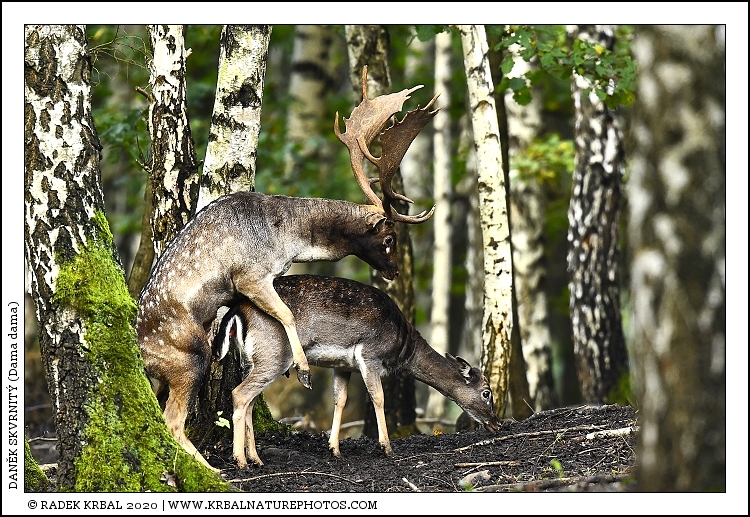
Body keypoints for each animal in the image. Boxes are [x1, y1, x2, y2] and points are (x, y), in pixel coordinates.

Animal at [136, 66, 439, 471]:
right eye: (389, 238)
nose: (394, 271)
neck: (288, 237)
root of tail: (140, 351)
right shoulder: (250, 274)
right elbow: (286, 314)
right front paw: (303, 370)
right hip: (188, 357)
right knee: (172, 420)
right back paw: (213, 467)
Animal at [209, 274, 502, 468]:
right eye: (486, 392)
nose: (497, 423)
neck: (402, 346)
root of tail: (235, 313)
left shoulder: (342, 366)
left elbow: (340, 400)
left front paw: (334, 449)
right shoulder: (369, 354)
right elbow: (378, 398)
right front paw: (386, 447)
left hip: (253, 359)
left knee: (249, 399)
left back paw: (255, 458)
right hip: (274, 355)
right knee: (240, 394)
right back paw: (241, 460)